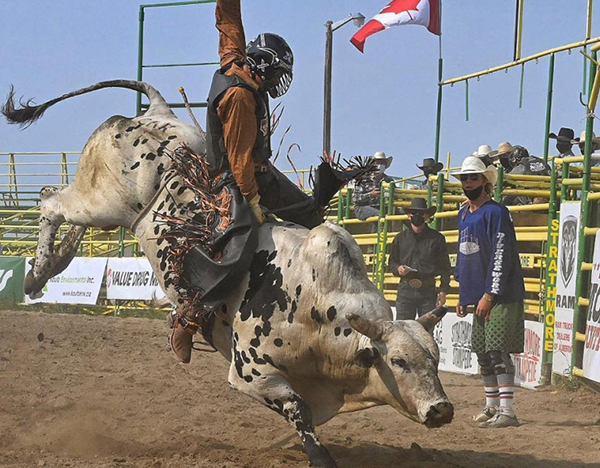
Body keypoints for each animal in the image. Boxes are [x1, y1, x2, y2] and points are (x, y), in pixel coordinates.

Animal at [3, 82, 454, 468]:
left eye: (434, 358)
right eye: (398, 361)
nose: (442, 409)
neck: (318, 307)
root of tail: (154, 112)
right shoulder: (250, 373)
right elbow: (298, 409)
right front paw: (320, 456)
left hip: (102, 210)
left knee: (65, 214)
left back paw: (53, 264)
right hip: (100, 201)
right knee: (50, 201)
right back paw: (36, 274)